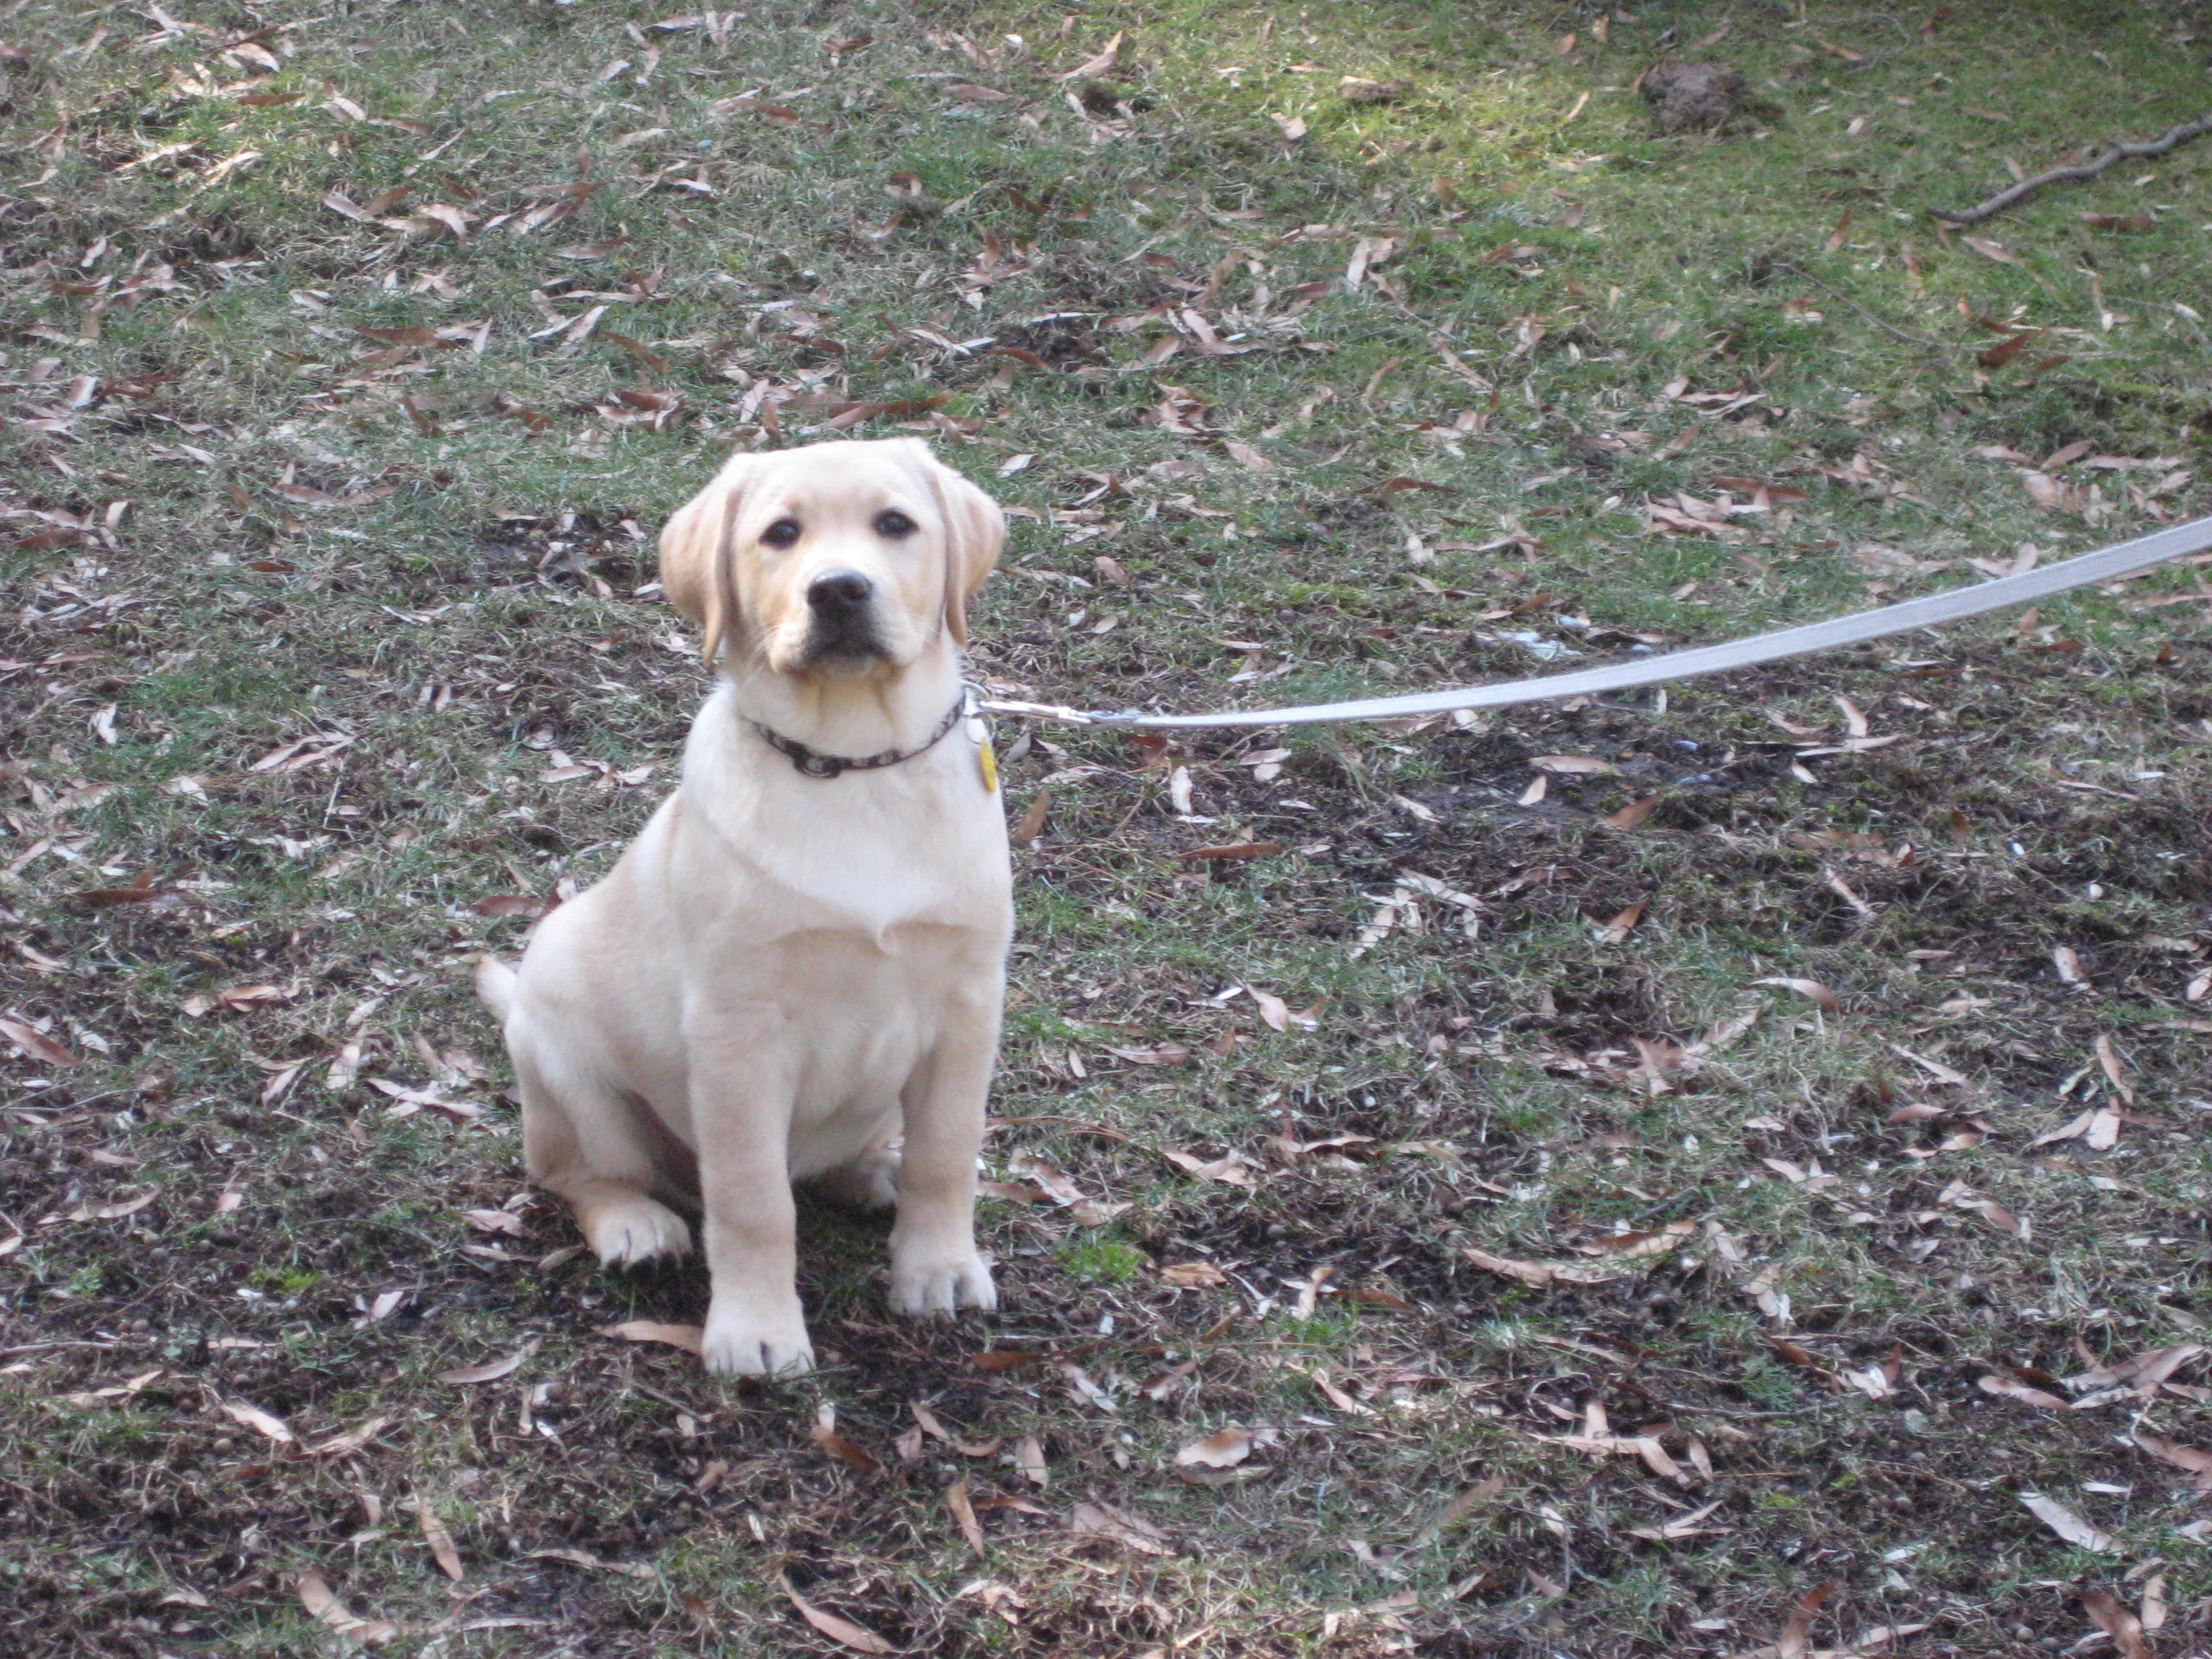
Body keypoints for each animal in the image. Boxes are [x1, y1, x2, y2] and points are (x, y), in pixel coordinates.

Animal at [480, 438, 1012, 1380]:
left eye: (895, 525)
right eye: (781, 534)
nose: (838, 589)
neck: (853, 764)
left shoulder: (967, 1005)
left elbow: (949, 1155)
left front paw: (940, 1269)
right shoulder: (739, 1034)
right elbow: (753, 1200)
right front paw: (757, 1332)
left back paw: (873, 1175)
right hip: (567, 1064)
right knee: (579, 1174)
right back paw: (635, 1226)